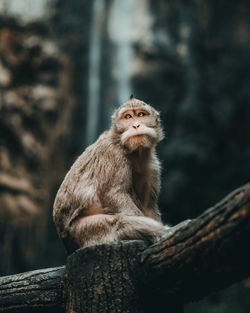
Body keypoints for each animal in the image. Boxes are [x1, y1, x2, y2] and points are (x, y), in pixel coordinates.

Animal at [53, 95, 170, 254]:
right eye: (128, 117)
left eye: (141, 114)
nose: (136, 125)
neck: (132, 152)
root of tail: (67, 245)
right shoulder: (113, 154)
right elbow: (113, 194)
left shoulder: (151, 165)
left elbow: (148, 206)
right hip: (83, 231)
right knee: (119, 223)